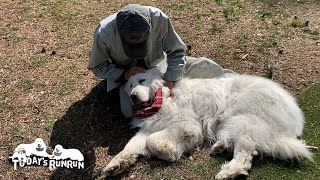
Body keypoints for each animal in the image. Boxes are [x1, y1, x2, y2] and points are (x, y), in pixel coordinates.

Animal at [102, 68, 312, 179]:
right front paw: (116, 165)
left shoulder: (187, 125)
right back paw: (220, 146)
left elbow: (152, 141)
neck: (162, 99)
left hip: (243, 121)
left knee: (245, 156)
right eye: (130, 85)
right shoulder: (148, 129)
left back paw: (226, 172)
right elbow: (130, 147)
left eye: (142, 80)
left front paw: (167, 152)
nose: (132, 95)